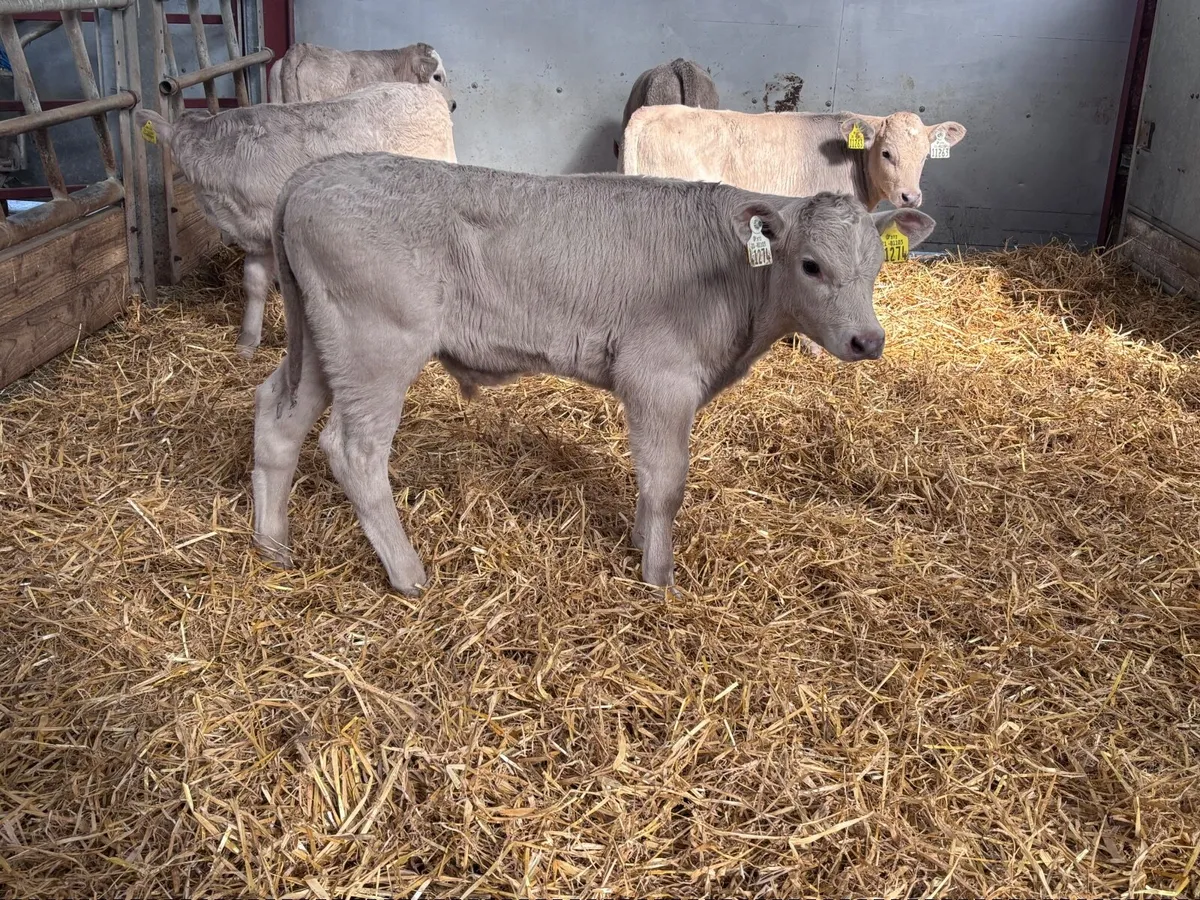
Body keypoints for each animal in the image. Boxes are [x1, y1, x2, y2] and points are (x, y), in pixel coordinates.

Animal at [250, 153, 936, 594]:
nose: (867, 340)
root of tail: (313, 174)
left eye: (877, 265)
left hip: (324, 347)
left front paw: (640, 545)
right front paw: (659, 579)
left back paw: (273, 548)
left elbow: (650, 485)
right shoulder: (659, 379)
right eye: (812, 265)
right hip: (376, 346)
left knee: (277, 418)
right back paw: (409, 575)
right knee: (354, 449)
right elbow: (666, 483)